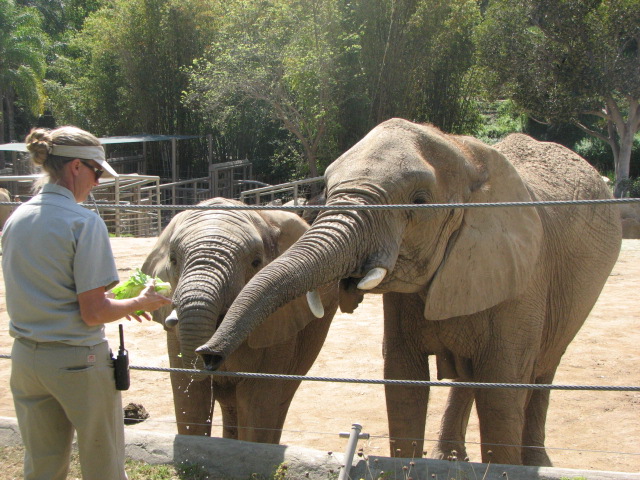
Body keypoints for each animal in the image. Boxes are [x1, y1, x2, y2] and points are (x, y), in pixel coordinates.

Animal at [141, 198, 339, 443]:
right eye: (173, 259)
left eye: (256, 262)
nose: (210, 358)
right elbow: (190, 397)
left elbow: (258, 402)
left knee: (280, 399)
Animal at [195, 119, 622, 465]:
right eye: (327, 189)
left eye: (418, 202)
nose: (207, 355)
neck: (465, 152)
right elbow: (403, 382)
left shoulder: (523, 277)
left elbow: (502, 390)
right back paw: (449, 458)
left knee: (543, 369)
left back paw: (536, 463)